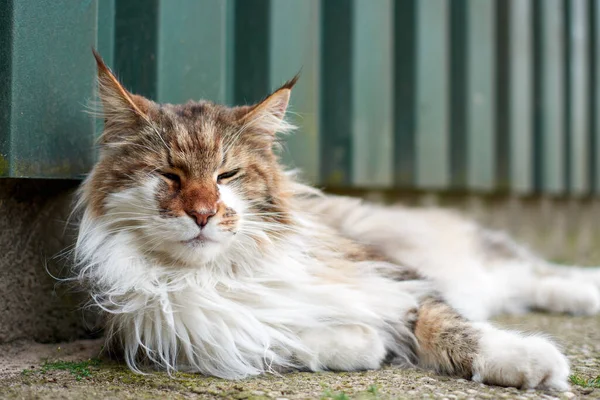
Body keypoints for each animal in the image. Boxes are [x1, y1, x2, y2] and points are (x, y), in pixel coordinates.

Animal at [75, 50, 600, 390]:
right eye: (170, 174)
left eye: (227, 175)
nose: (202, 214)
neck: (220, 274)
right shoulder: (180, 337)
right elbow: (290, 339)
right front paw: (368, 343)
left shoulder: (400, 279)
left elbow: (452, 328)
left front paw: (529, 360)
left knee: (541, 273)